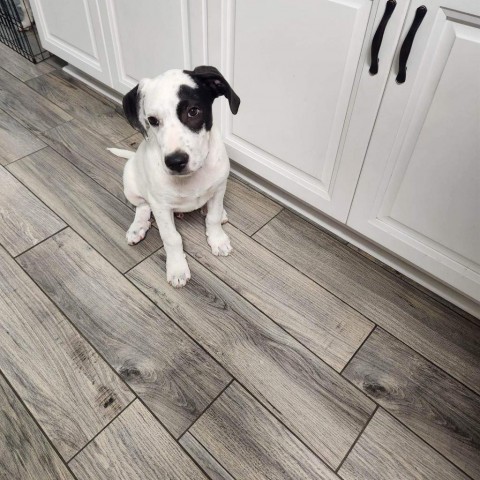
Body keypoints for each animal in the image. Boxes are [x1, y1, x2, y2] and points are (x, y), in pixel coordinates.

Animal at [109, 65, 240, 286]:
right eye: (153, 121)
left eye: (193, 111)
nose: (175, 161)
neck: (193, 176)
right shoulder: (161, 207)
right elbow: (171, 238)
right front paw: (177, 268)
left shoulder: (219, 188)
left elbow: (212, 218)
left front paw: (217, 239)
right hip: (131, 184)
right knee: (142, 207)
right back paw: (138, 227)